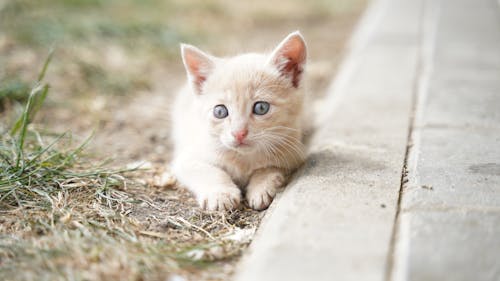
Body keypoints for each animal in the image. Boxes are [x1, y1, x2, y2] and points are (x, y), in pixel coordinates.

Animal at [170, 30, 306, 210]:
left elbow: (270, 167)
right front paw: (221, 194)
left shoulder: (293, 153)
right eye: (220, 111)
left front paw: (262, 187)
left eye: (261, 108)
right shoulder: (187, 158)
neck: (242, 160)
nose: (239, 133)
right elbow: (209, 171)